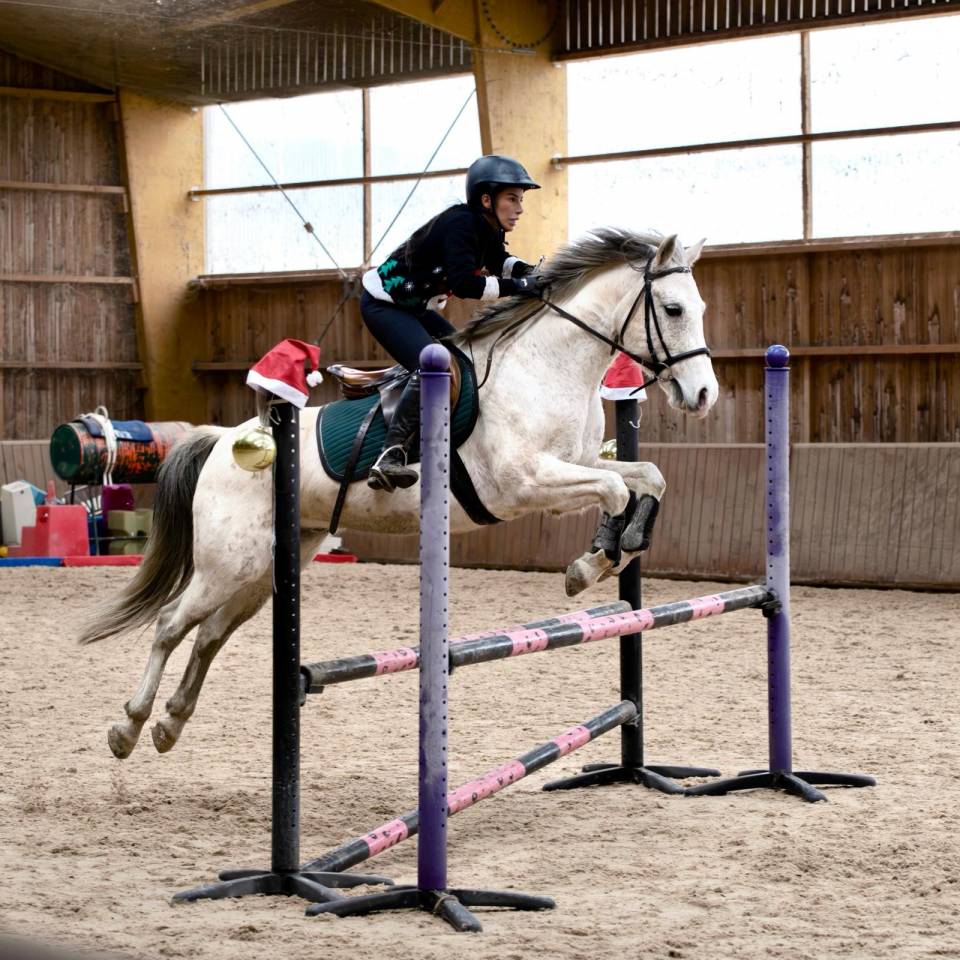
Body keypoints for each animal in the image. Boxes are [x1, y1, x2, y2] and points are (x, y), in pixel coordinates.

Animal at [79, 228, 718, 759]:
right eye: (674, 309)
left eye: (700, 309)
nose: (703, 394)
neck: (545, 367)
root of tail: (221, 442)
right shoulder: (525, 483)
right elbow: (612, 489)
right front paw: (591, 565)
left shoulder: (572, 467)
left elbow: (646, 478)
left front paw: (622, 549)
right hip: (225, 563)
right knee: (170, 624)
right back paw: (128, 726)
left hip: (265, 567)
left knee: (210, 634)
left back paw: (170, 723)